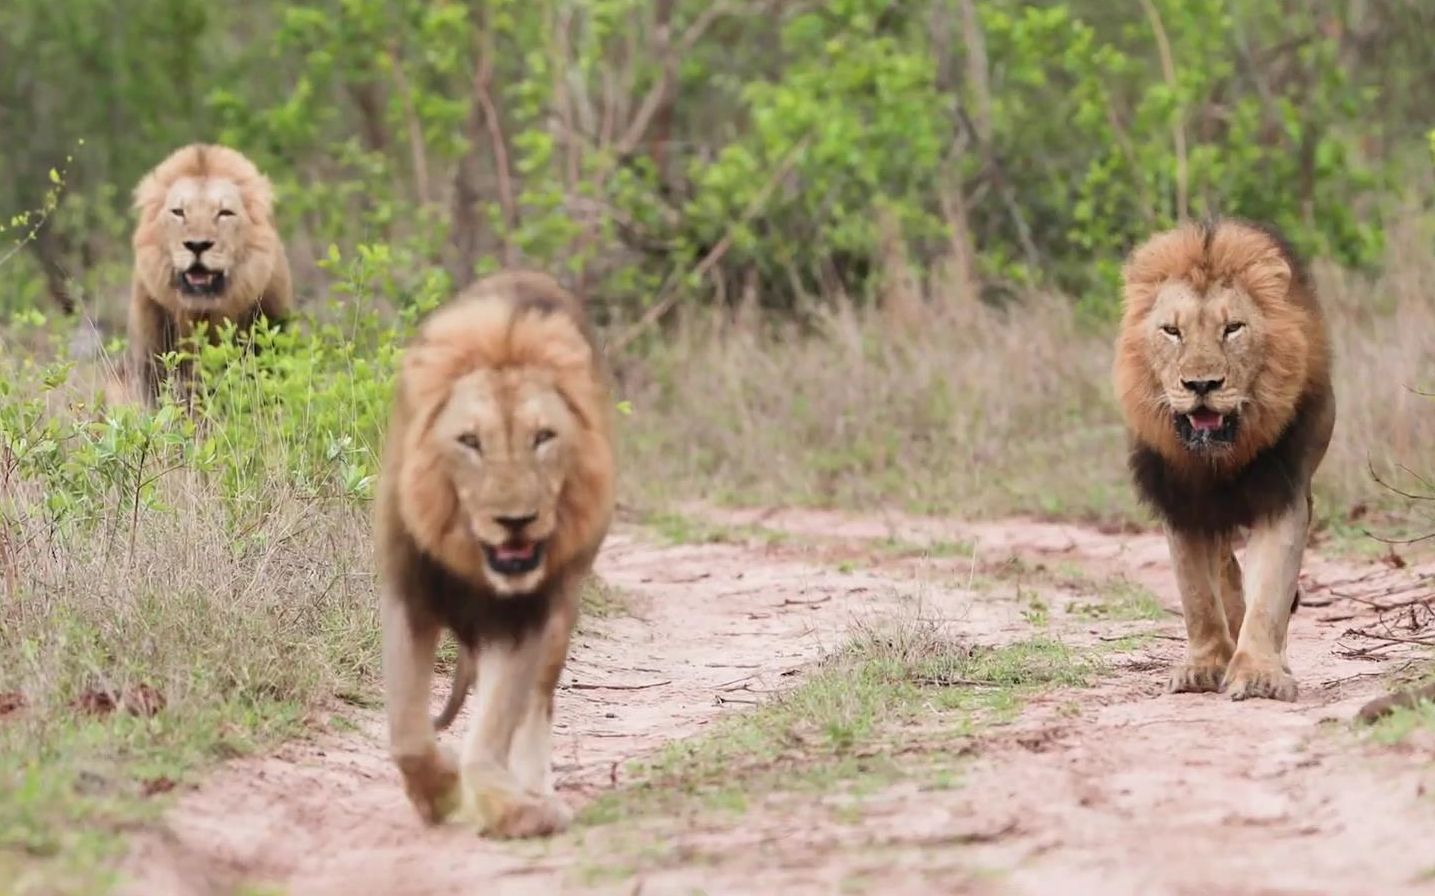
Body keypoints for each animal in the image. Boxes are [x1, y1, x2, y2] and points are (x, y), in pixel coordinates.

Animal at [373, 269, 614, 838]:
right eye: (470, 441)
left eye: (543, 437)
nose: (515, 521)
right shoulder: (408, 595)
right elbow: (408, 732)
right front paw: (437, 793)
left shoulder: (525, 616)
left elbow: (496, 726)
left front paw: (515, 808)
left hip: (563, 610)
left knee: (536, 704)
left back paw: (532, 786)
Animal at [1107, 216, 1331, 700]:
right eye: (1172, 331)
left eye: (1233, 329)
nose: (1201, 384)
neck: (1217, 459)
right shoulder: (1180, 502)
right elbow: (1198, 596)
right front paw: (1204, 667)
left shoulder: (1282, 494)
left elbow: (1269, 593)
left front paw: (1260, 675)